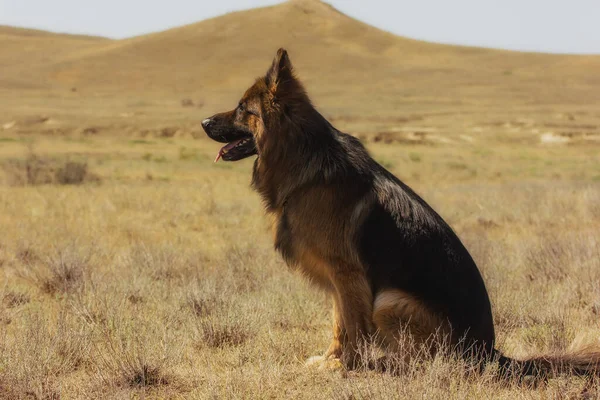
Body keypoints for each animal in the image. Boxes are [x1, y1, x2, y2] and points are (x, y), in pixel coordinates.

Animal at [203, 49, 600, 378]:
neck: (303, 157)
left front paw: (344, 366)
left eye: (241, 108)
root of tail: (489, 351)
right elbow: (338, 323)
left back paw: (389, 363)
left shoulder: (347, 275)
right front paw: (330, 359)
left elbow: (351, 326)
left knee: (427, 361)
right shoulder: (339, 279)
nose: (204, 122)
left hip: (389, 301)